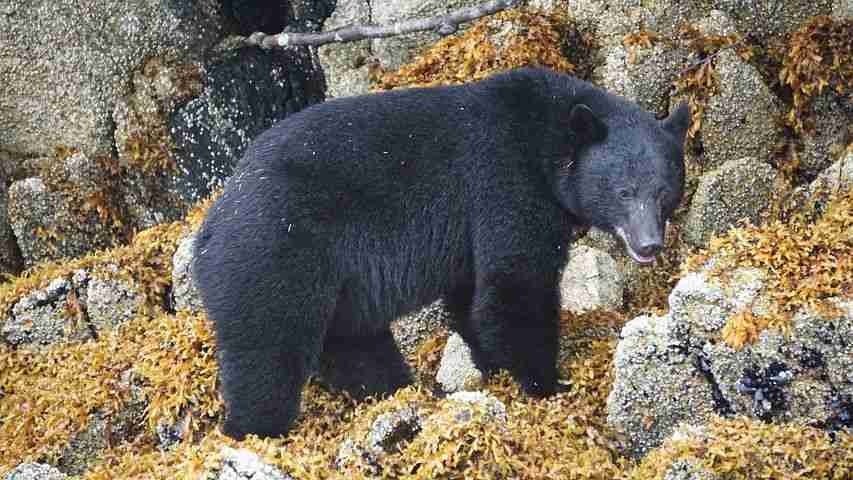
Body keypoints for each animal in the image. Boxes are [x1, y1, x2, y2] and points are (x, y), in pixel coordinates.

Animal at [191, 67, 684, 438]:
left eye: (664, 192)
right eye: (624, 191)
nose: (649, 244)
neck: (544, 138)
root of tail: (208, 230)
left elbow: (473, 297)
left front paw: (492, 368)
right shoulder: (504, 183)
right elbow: (515, 286)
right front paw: (550, 384)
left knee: (354, 342)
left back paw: (399, 393)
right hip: (272, 256)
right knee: (267, 352)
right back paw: (255, 428)